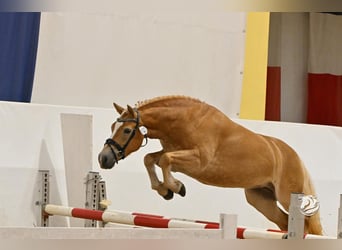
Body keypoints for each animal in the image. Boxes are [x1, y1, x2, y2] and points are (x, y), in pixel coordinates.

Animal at [97, 95, 322, 234]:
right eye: (112, 126)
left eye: (126, 130)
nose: (103, 158)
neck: (184, 121)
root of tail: (295, 157)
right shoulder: (176, 155)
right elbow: (152, 159)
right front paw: (165, 190)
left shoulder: (198, 162)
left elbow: (165, 160)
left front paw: (176, 187)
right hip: (260, 199)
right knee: (284, 221)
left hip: (287, 196)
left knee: (305, 225)